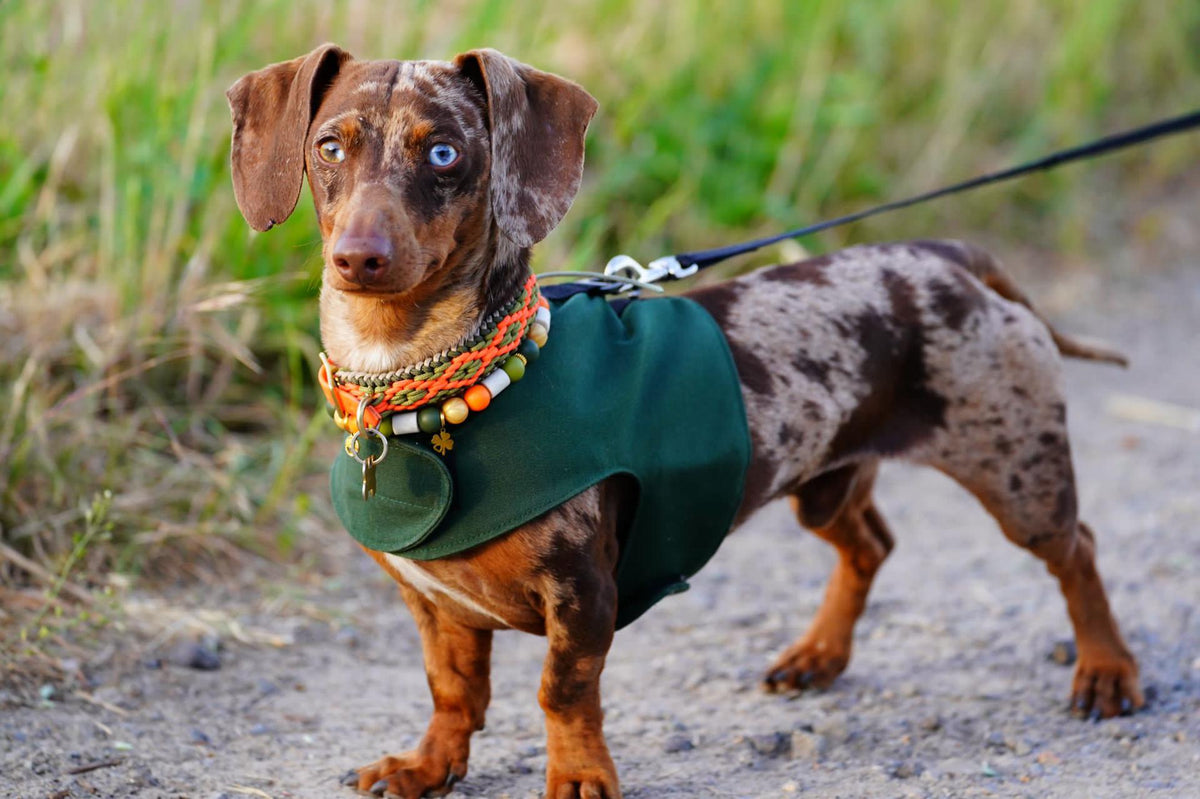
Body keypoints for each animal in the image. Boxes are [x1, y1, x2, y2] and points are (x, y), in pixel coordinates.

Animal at [226, 44, 1142, 796]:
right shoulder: (432, 603)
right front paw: (427, 765)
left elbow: (562, 692)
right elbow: (452, 691)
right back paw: (819, 654)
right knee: (871, 545)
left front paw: (580, 776)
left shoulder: (583, 593)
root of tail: (948, 254)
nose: (358, 258)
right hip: (825, 483)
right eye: (329, 146)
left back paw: (1106, 669)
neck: (430, 386)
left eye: (445, 152)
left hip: (1018, 473)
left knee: (1079, 549)